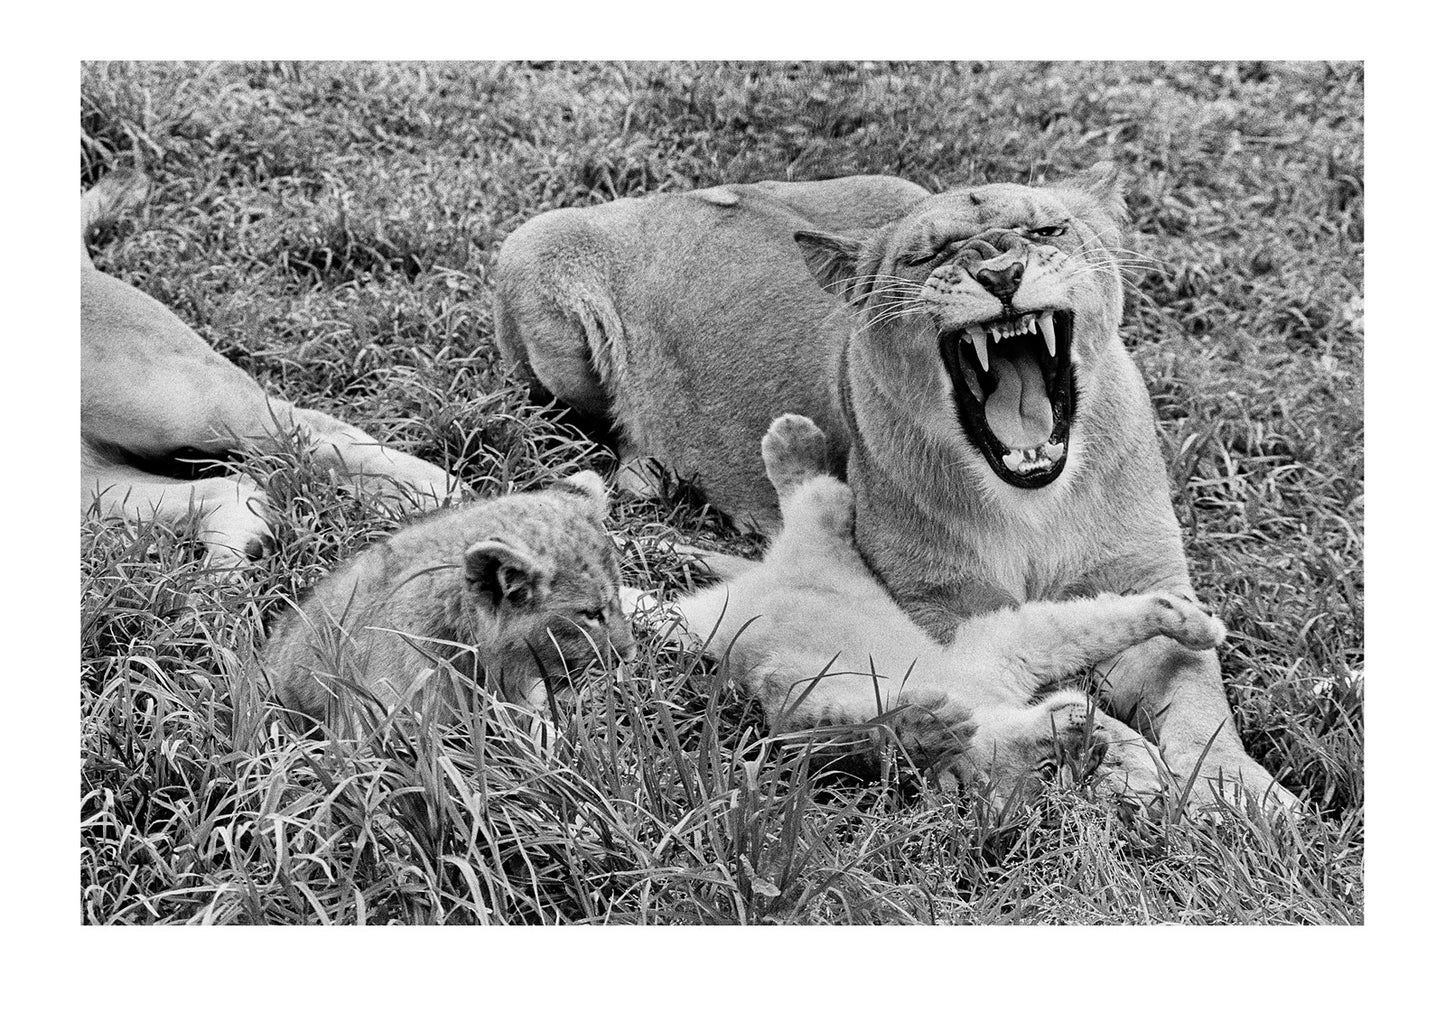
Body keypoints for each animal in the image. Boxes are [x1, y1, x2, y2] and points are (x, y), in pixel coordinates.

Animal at [82, 171, 461, 566]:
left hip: (156, 399)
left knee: (303, 427)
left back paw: (428, 495)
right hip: (94, 481)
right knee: (226, 486)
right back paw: (229, 563)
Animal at [494, 166, 1295, 810]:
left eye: (1046, 229)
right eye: (927, 254)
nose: (1000, 270)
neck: (1034, 501)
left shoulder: (1144, 576)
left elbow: (1199, 695)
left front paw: (1245, 795)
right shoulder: (936, 609)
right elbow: (1036, 686)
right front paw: (1125, 759)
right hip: (537, 259)